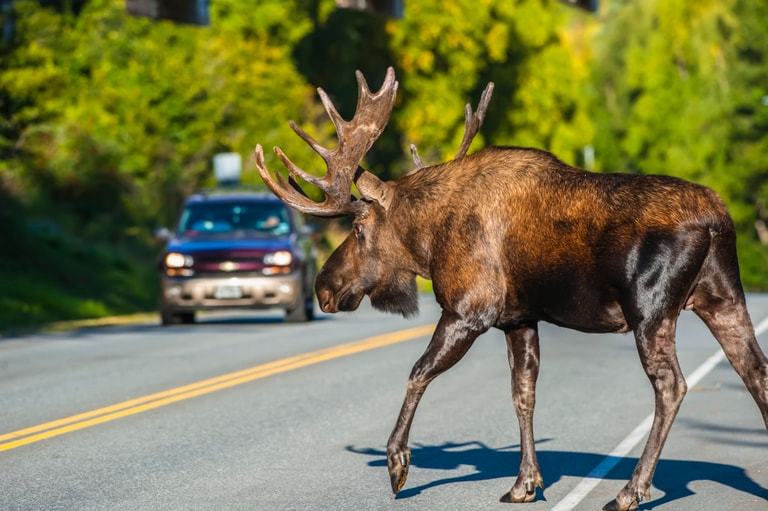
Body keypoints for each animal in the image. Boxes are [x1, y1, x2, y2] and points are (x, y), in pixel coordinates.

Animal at [256, 68, 768, 511]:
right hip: (723, 298)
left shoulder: (469, 309)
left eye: (359, 228)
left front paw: (397, 465)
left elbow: (418, 372)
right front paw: (524, 483)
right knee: (755, 371)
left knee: (671, 385)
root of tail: (716, 220)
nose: (323, 287)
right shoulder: (518, 319)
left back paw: (629, 491)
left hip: (651, 309)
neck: (429, 238)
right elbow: (523, 393)